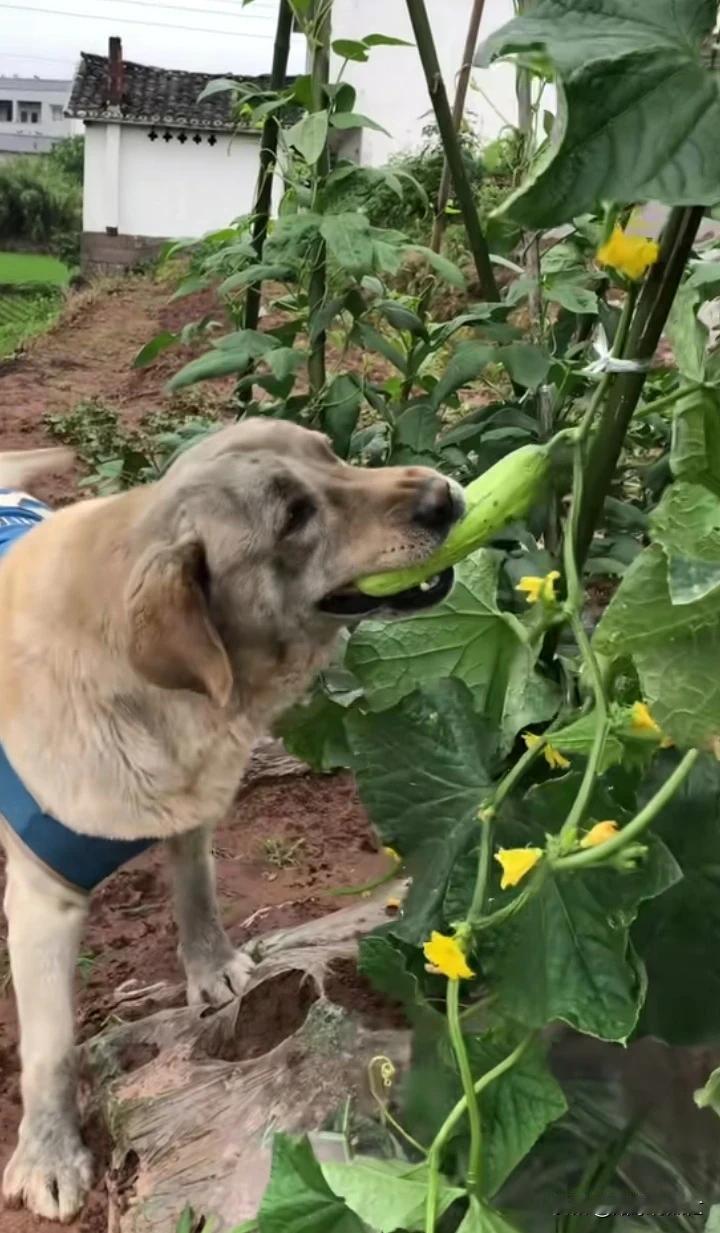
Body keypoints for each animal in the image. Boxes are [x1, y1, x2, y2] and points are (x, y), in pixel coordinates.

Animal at [0, 416, 461, 1223]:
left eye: (331, 455)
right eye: (294, 517)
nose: (443, 496)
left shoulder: (190, 808)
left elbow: (198, 890)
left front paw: (211, 966)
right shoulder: (44, 899)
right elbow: (50, 1048)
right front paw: (49, 1154)